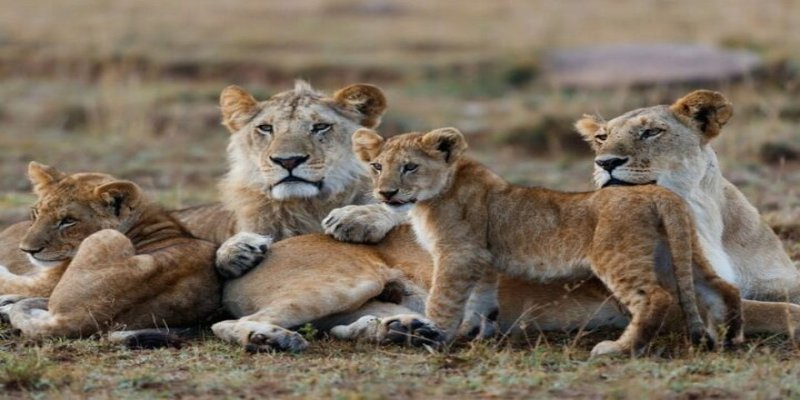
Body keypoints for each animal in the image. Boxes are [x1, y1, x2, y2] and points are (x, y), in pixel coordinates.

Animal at [0, 162, 220, 339]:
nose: (26, 250)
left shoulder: (47, 283)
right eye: (36, 213)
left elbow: (10, 282)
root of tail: (76, 319)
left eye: (68, 220)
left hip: (108, 237)